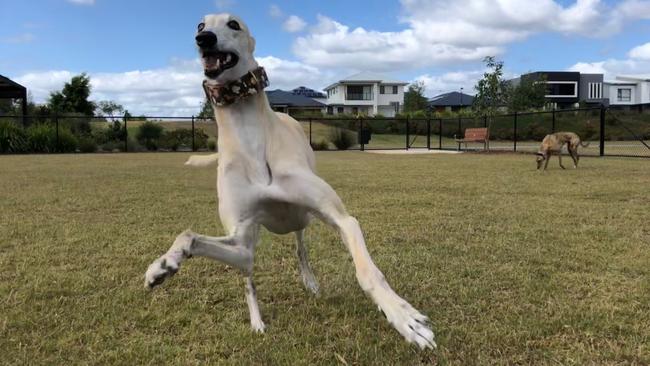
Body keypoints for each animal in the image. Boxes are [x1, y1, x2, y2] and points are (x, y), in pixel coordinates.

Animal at [144, 12, 432, 348]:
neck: (251, 141)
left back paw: (310, 280)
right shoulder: (240, 237)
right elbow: (188, 236)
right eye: (200, 26)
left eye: (233, 24)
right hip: (251, 242)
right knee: (248, 273)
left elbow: (367, 272)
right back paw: (256, 321)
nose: (204, 40)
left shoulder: (343, 219)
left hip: (302, 216)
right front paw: (162, 266)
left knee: (300, 245)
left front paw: (403, 317)